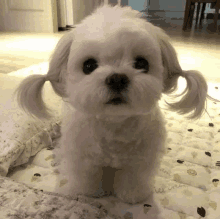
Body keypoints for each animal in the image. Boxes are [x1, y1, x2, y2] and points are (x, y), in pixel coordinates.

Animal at [15, 2, 217, 218]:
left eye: (141, 63)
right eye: (88, 65)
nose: (117, 78)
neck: (114, 124)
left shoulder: (140, 159)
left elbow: (133, 179)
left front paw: (132, 195)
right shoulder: (84, 156)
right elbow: (87, 175)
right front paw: (91, 193)